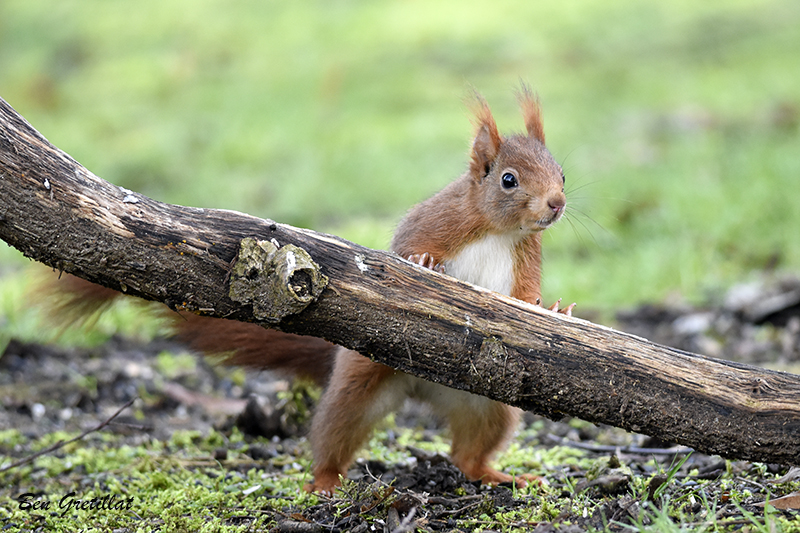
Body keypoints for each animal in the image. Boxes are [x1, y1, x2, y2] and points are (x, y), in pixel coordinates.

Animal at [53, 86, 572, 490]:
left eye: (562, 173)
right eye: (508, 180)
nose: (556, 204)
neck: (498, 231)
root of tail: (425, 390)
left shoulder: (526, 257)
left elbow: (525, 298)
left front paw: (556, 312)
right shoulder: (439, 220)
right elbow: (411, 246)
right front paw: (423, 263)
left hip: (491, 407)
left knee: (467, 455)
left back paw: (498, 475)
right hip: (358, 386)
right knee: (333, 434)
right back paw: (325, 481)